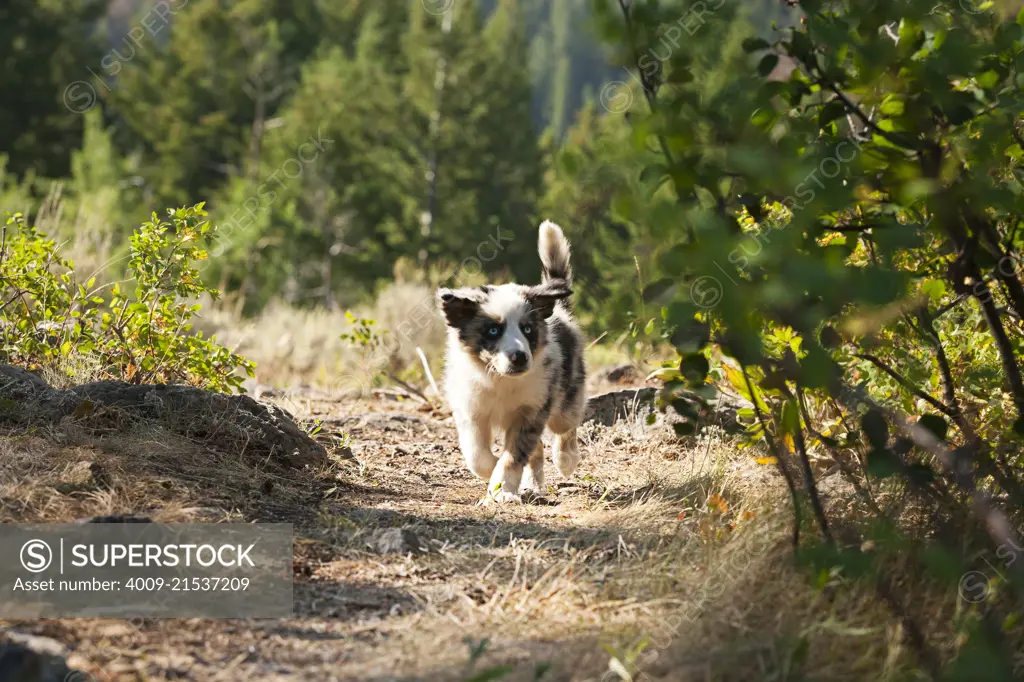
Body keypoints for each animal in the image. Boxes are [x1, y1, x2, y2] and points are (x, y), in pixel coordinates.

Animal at [436, 220, 589, 501]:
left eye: (527, 329)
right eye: (493, 330)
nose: (519, 357)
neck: (500, 380)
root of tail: (560, 312)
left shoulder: (532, 410)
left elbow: (514, 454)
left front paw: (503, 490)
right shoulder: (471, 412)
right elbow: (477, 456)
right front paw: (494, 474)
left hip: (566, 397)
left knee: (566, 428)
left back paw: (566, 459)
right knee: (537, 449)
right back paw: (533, 485)